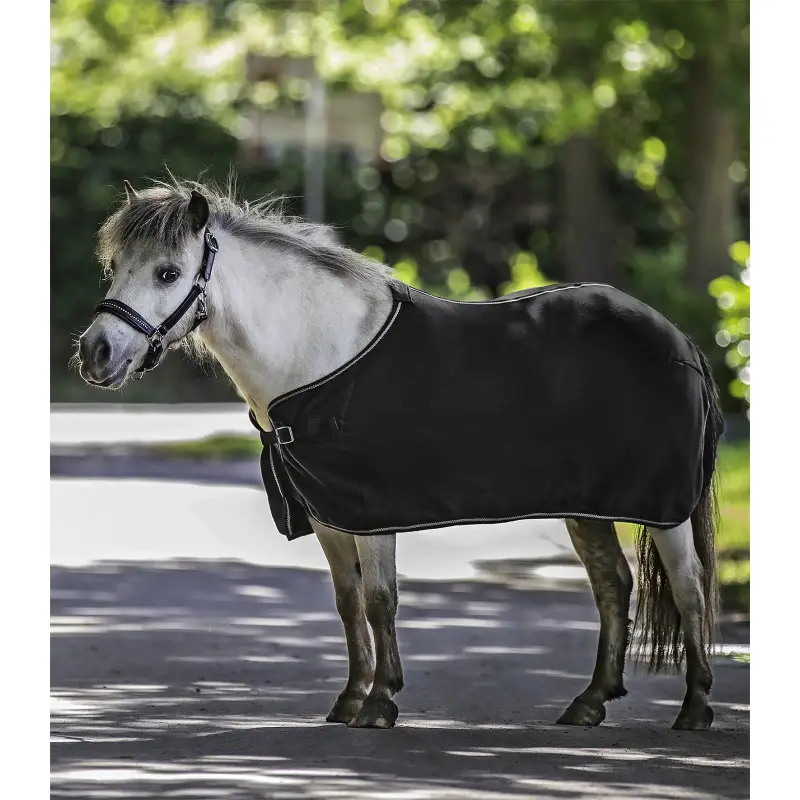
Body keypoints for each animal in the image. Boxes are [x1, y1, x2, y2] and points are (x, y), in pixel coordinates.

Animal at [76, 178, 722, 732]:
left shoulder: (370, 510)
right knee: (613, 584)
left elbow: (381, 600)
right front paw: (350, 697)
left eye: (168, 272)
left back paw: (694, 708)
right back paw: (589, 703)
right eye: (116, 267)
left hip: (663, 508)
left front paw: (381, 701)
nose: (95, 353)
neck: (318, 353)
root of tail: (681, 340)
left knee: (689, 586)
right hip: (587, 507)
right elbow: (348, 602)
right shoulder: (328, 515)